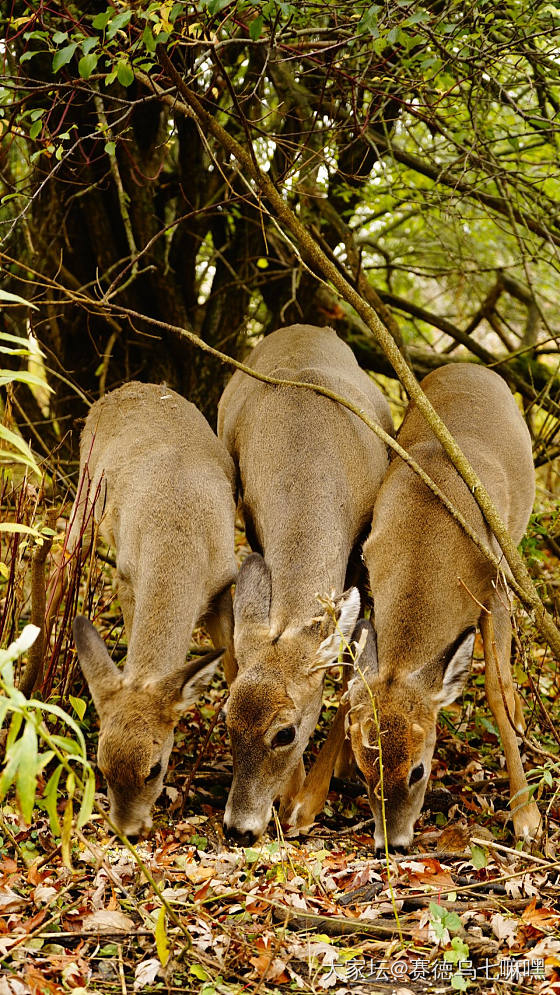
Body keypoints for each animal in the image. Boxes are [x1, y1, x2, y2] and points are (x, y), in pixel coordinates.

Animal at [65, 384, 236, 840]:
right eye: (101, 767)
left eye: (155, 769)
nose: (127, 830)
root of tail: (127, 388)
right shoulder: (126, 575)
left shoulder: (224, 583)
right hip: (84, 498)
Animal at [215, 324, 394, 840]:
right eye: (226, 720)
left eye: (285, 732)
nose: (238, 827)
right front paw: (291, 795)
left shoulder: (361, 561)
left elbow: (353, 665)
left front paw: (309, 804)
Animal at [348, 362, 540, 852]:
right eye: (363, 769)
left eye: (418, 770)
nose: (391, 844)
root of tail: (471, 365)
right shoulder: (370, 571)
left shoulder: (494, 586)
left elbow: (495, 687)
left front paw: (526, 818)